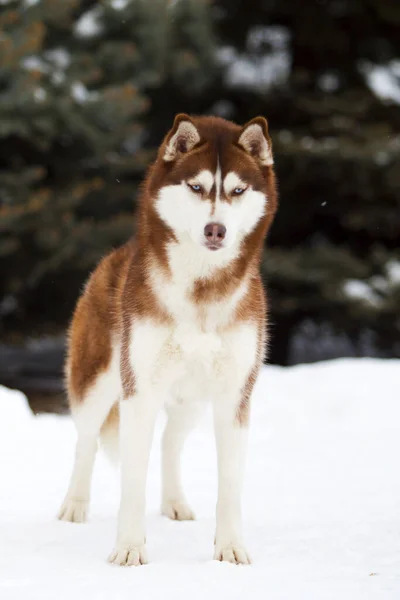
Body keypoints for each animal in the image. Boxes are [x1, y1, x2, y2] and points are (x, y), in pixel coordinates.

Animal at [57, 113, 278, 568]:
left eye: (238, 190)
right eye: (195, 187)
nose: (216, 230)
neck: (202, 290)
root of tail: (117, 254)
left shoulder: (234, 395)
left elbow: (230, 486)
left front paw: (230, 547)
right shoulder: (139, 390)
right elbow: (131, 481)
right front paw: (129, 548)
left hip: (191, 396)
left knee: (170, 442)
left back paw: (174, 501)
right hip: (99, 381)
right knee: (86, 440)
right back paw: (74, 505)